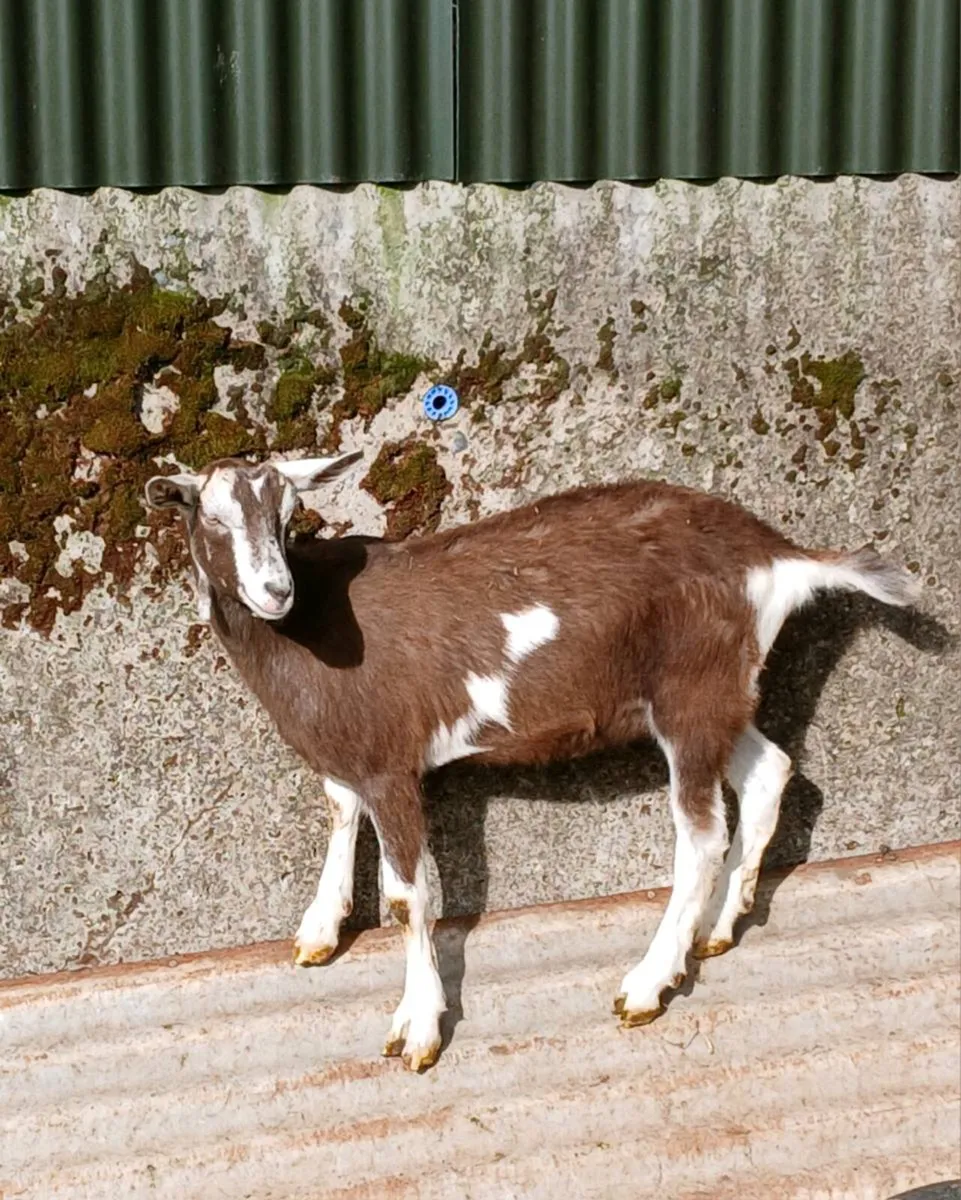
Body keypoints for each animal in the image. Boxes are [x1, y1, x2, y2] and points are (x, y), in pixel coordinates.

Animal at [144, 452, 920, 1071]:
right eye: (213, 519)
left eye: (287, 515)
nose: (275, 590)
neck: (308, 629)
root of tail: (777, 555)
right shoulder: (348, 750)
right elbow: (339, 810)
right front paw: (319, 928)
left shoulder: (394, 762)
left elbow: (406, 896)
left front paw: (418, 1026)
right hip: (716, 692)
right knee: (770, 773)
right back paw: (717, 929)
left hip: (690, 692)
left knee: (701, 837)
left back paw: (648, 983)